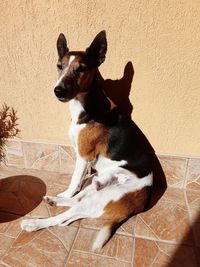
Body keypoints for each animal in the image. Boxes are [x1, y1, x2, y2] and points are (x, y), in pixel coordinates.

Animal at [21, 31, 153, 251]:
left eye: (81, 69)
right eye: (59, 66)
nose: (58, 90)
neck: (86, 106)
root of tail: (145, 198)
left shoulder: (83, 156)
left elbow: (74, 180)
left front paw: (65, 193)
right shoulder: (87, 163)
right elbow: (74, 188)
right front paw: (63, 196)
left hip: (100, 198)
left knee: (64, 219)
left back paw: (34, 223)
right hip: (95, 181)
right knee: (75, 203)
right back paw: (54, 200)